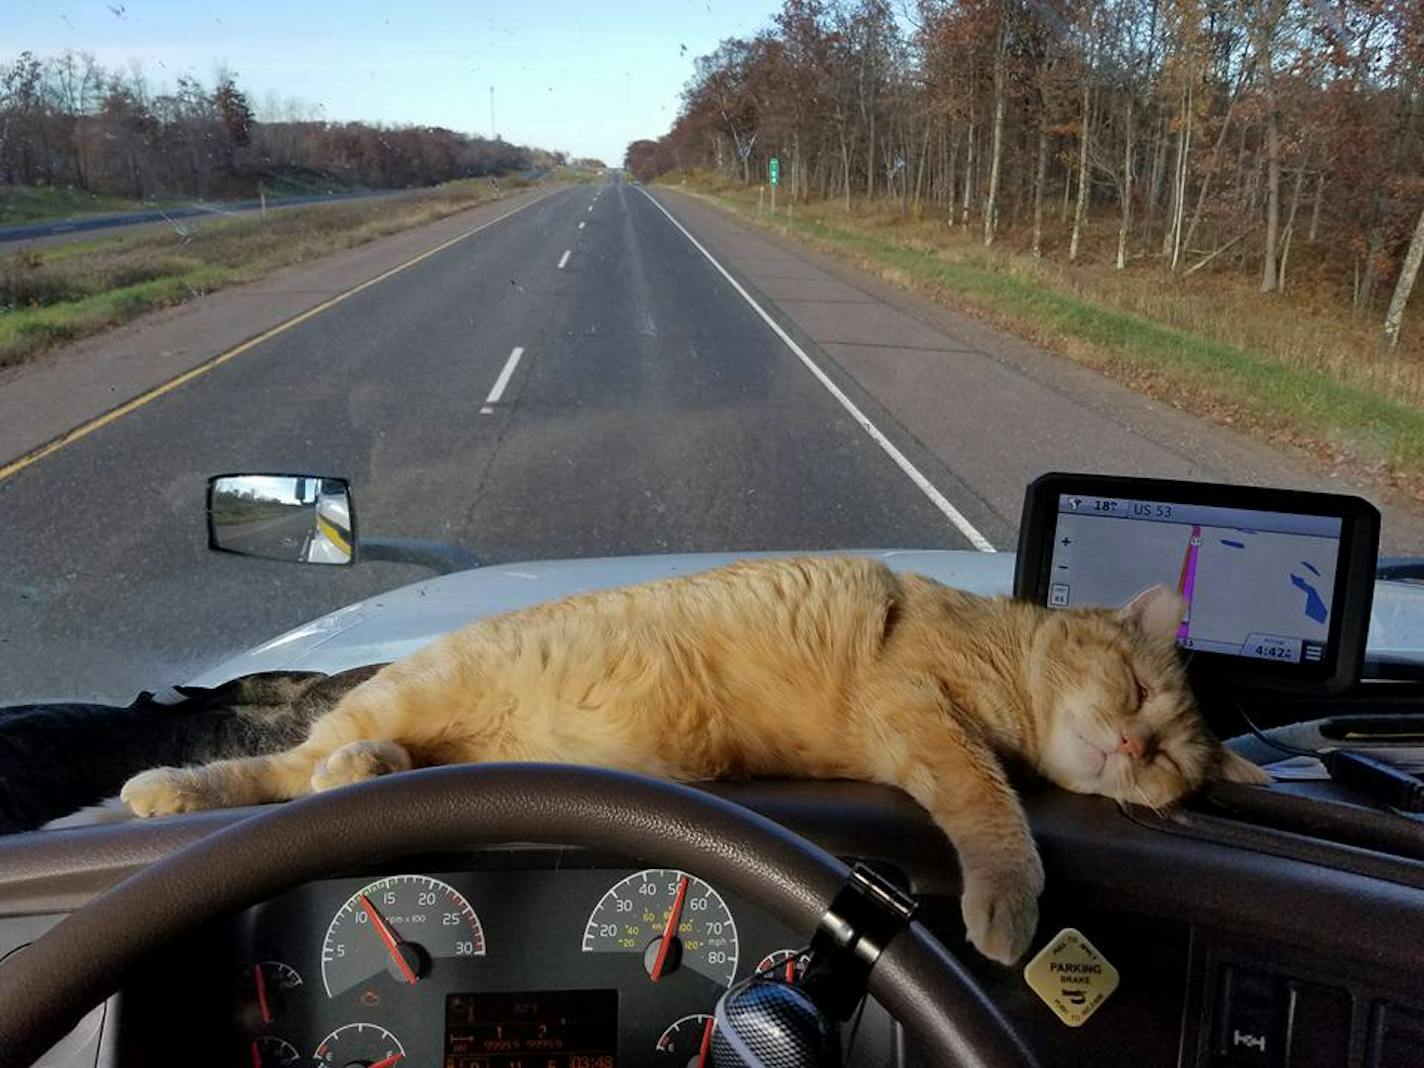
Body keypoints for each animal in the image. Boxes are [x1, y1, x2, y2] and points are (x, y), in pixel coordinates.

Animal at [119, 555, 1258, 968]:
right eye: (1138, 693)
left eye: (1168, 758)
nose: (1133, 746)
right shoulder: (927, 719)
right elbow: (992, 810)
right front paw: (1009, 901)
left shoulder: (918, 736)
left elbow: (989, 797)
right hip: (411, 694)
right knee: (286, 769)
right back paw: (178, 785)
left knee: (319, 766)